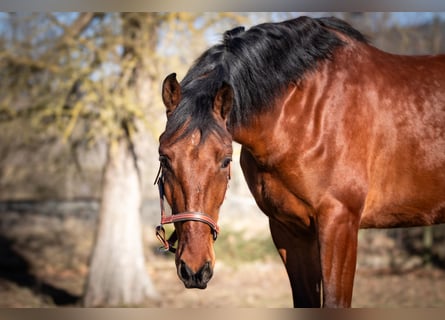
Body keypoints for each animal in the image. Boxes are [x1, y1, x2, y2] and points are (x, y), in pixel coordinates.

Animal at [155, 16, 444, 308]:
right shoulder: (290, 230)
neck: (305, 112)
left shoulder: (340, 223)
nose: (194, 269)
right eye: (164, 158)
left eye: (226, 160)